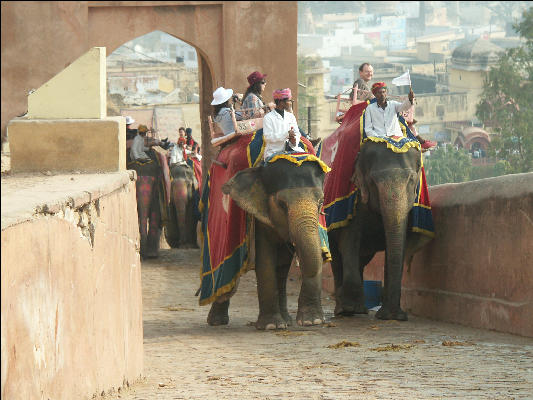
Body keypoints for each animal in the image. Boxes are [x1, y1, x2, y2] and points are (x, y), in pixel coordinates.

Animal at [208, 159, 328, 332]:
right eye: (281, 204)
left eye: (321, 202)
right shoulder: (258, 216)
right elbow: (265, 258)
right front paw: (272, 326)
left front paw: (312, 322)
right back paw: (217, 321)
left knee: (282, 268)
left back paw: (287, 320)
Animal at [326, 141, 430, 322]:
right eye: (373, 181)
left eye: (411, 180)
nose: (397, 316)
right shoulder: (355, 200)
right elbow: (349, 241)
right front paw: (348, 309)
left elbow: (396, 247)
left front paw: (389, 316)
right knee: (337, 257)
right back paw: (344, 310)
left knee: (362, 260)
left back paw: (360, 309)